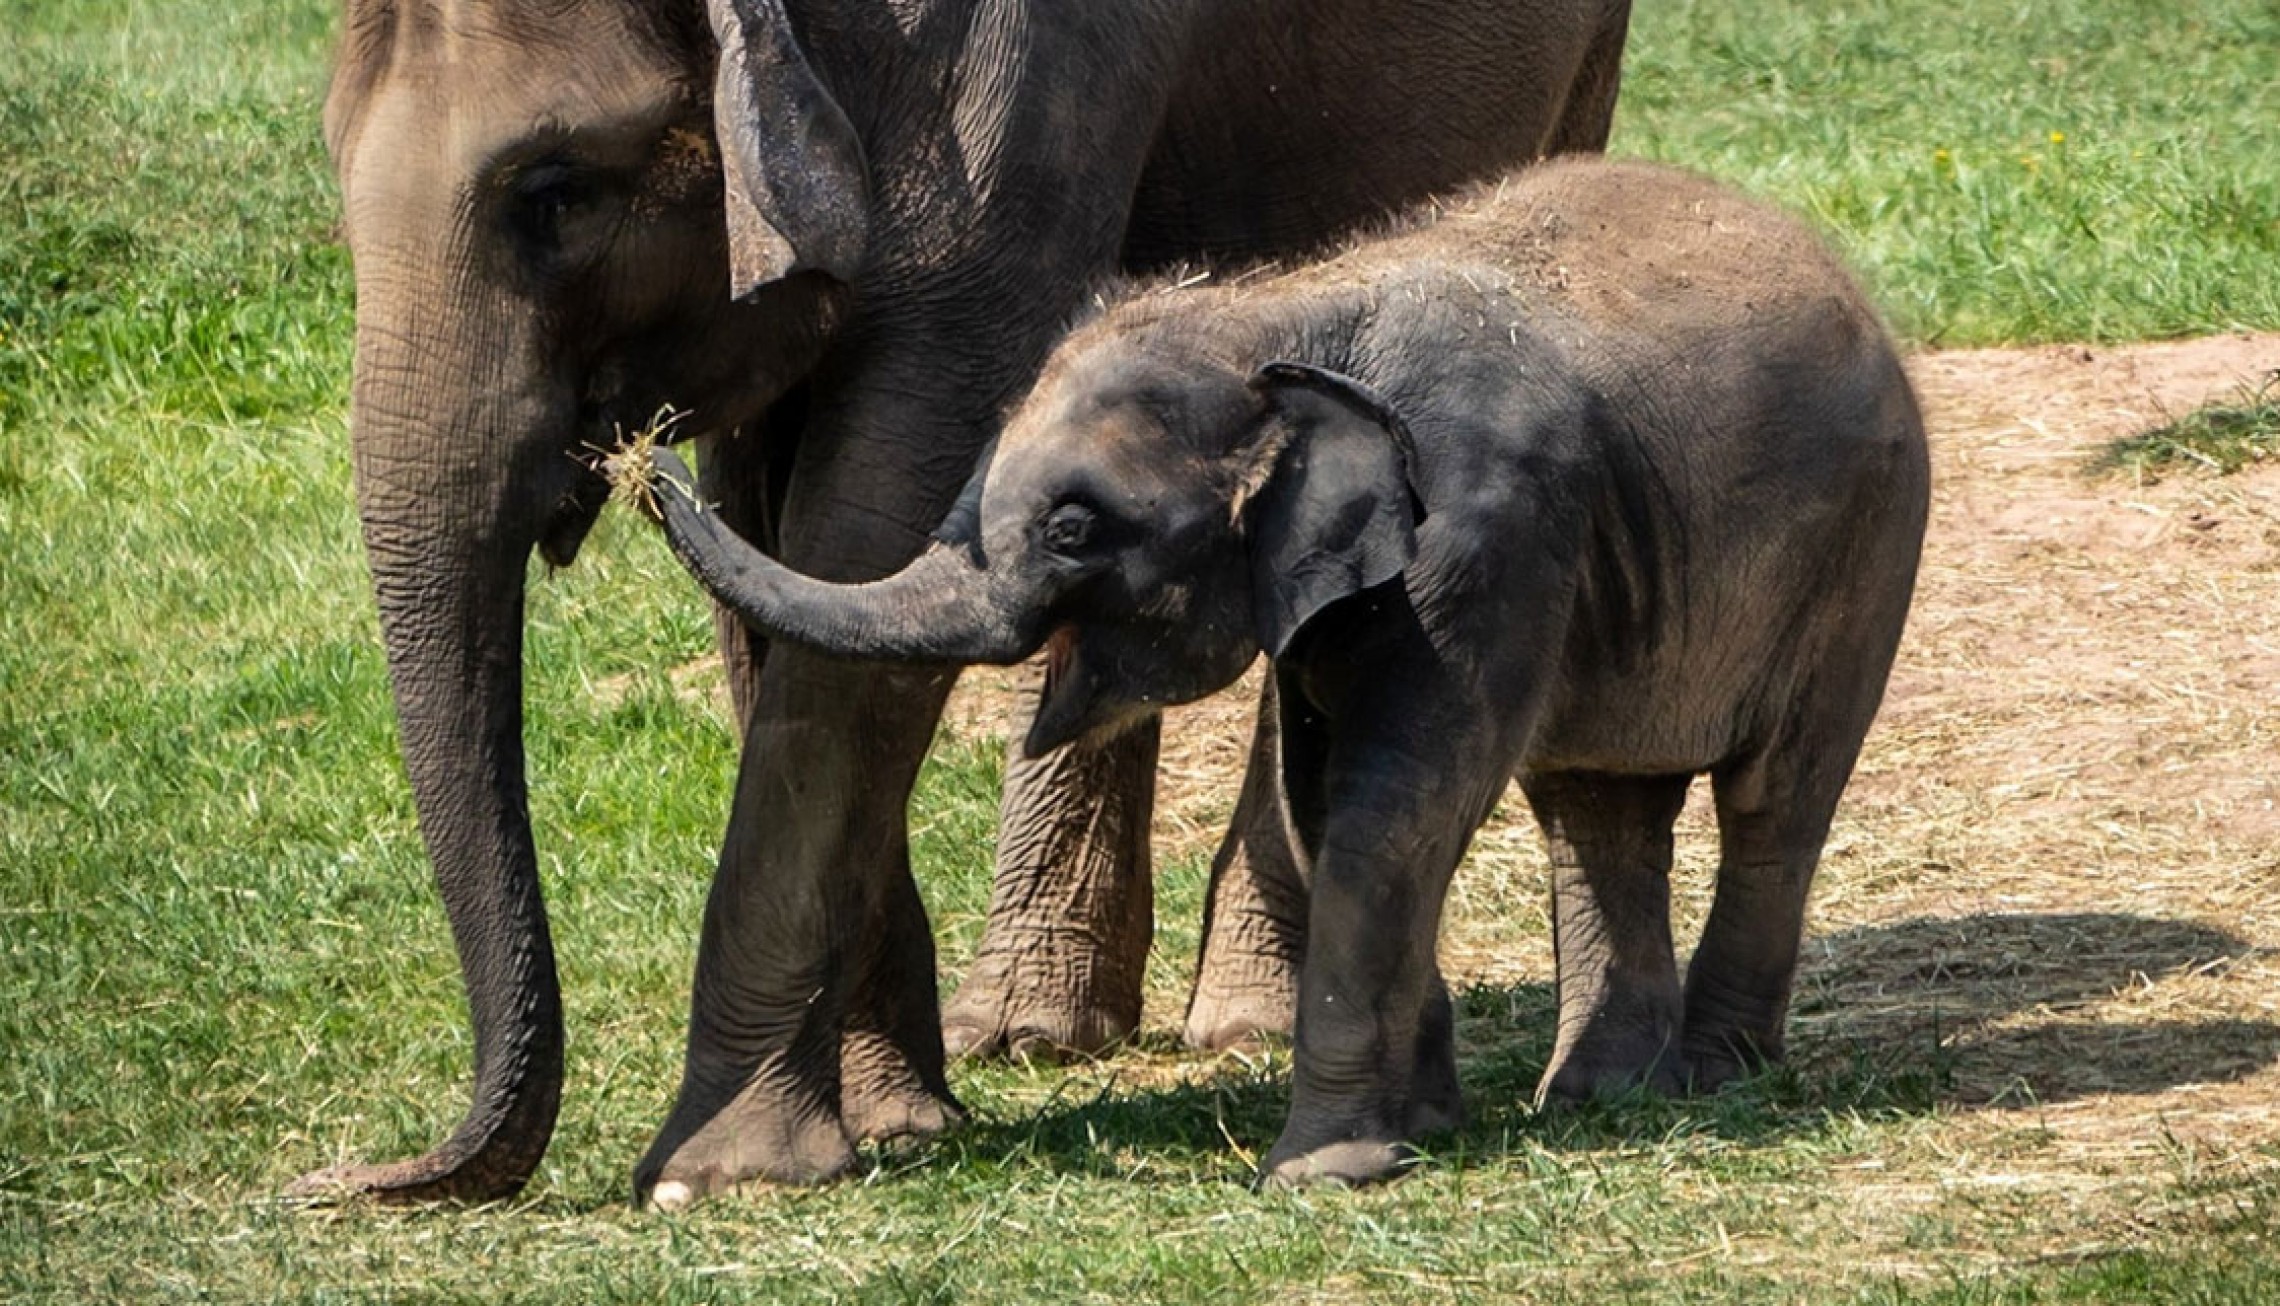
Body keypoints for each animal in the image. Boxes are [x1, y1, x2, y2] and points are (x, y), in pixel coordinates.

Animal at [294, 0, 1632, 1203]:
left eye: (555, 194)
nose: (353, 1178)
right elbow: (779, 544)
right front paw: (896, 1119)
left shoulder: (1005, 85)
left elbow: (882, 497)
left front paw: (721, 1173)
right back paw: (1033, 1027)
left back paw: (1239, 1019)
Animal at [633, 160, 1933, 1185]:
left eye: (1072, 529)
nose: (641, 455)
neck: (1280, 319)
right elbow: (1327, 807)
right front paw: (1422, 1128)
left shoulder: (1488, 535)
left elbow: (1393, 805)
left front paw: (1321, 1173)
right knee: (1596, 807)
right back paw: (1605, 1095)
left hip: (1867, 547)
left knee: (1773, 797)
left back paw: (1715, 1076)